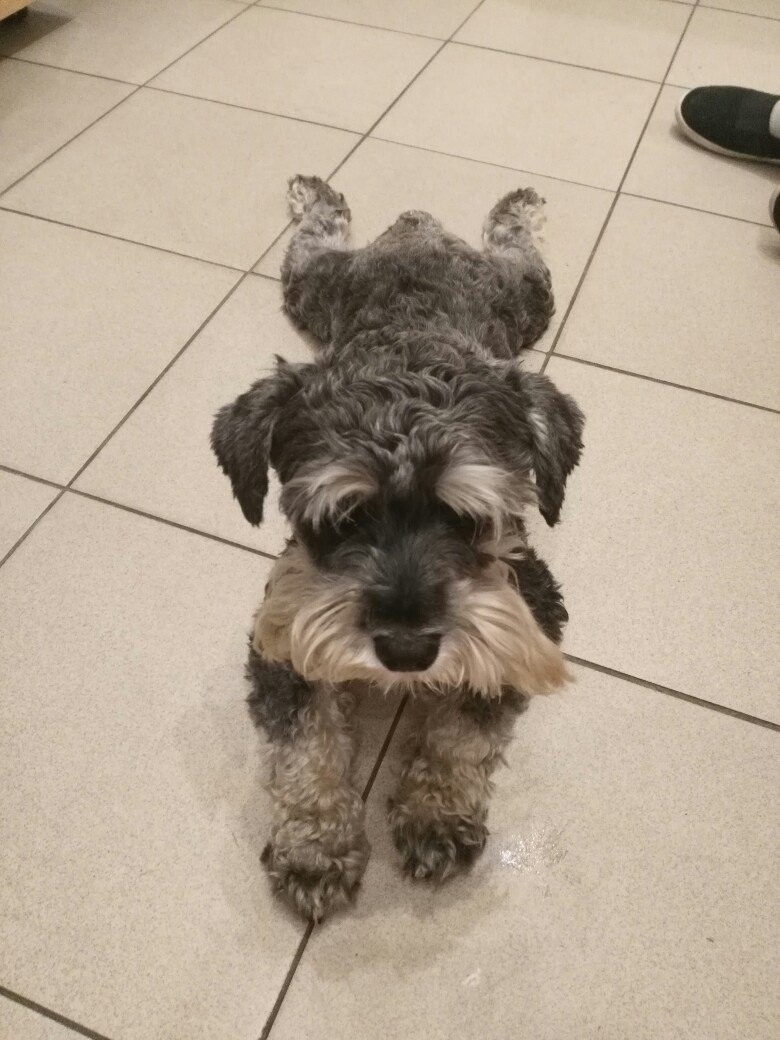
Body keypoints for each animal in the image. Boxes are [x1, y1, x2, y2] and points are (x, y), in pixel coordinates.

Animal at [211, 175, 584, 921]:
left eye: (469, 519)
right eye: (340, 518)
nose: (407, 651)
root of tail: (419, 231)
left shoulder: (529, 613)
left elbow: (464, 731)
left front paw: (436, 815)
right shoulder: (282, 637)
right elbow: (306, 744)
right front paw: (316, 847)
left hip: (526, 295)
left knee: (516, 247)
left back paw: (519, 205)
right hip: (315, 286)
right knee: (316, 239)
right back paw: (315, 194)